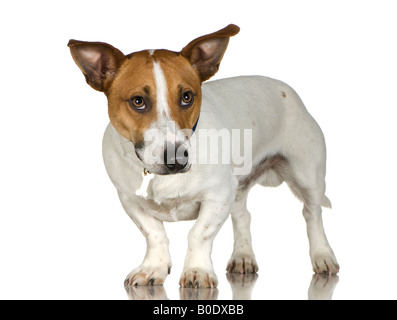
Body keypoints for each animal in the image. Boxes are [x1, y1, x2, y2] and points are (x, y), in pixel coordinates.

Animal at [67, 23, 338, 288]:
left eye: (187, 97)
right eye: (138, 101)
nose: (176, 160)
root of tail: (286, 89)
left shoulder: (217, 197)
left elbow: (198, 234)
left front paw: (197, 271)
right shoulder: (131, 201)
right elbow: (155, 235)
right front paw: (153, 267)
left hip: (306, 176)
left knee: (312, 214)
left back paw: (323, 256)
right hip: (238, 188)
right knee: (243, 216)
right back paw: (243, 256)